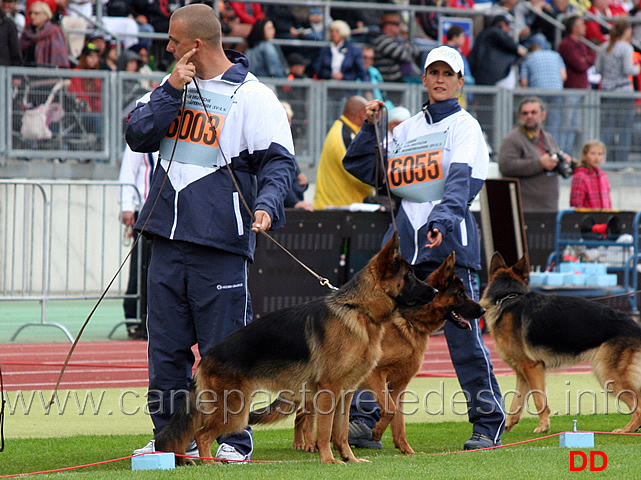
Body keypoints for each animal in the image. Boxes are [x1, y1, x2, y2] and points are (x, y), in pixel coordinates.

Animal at [152, 234, 438, 464]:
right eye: (410, 276)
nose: (436, 290)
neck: (357, 309)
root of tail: (206, 357)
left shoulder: (345, 394)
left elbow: (341, 432)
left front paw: (350, 459)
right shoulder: (328, 391)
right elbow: (324, 431)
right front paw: (329, 460)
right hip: (234, 412)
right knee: (202, 435)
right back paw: (210, 464)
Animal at [288, 253, 482, 456]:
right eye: (460, 293)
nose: (483, 310)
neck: (409, 320)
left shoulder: (398, 385)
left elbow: (399, 419)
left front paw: (406, 449)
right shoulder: (376, 376)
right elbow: (390, 410)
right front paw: (377, 432)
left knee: (301, 414)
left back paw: (305, 443)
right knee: (305, 414)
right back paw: (310, 443)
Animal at [482, 253, 640, 434]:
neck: (508, 297)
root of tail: (635, 325)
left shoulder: (532, 368)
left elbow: (539, 399)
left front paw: (543, 427)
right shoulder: (522, 373)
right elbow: (516, 402)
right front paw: (507, 425)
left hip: (608, 374)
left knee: (638, 405)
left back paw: (627, 430)